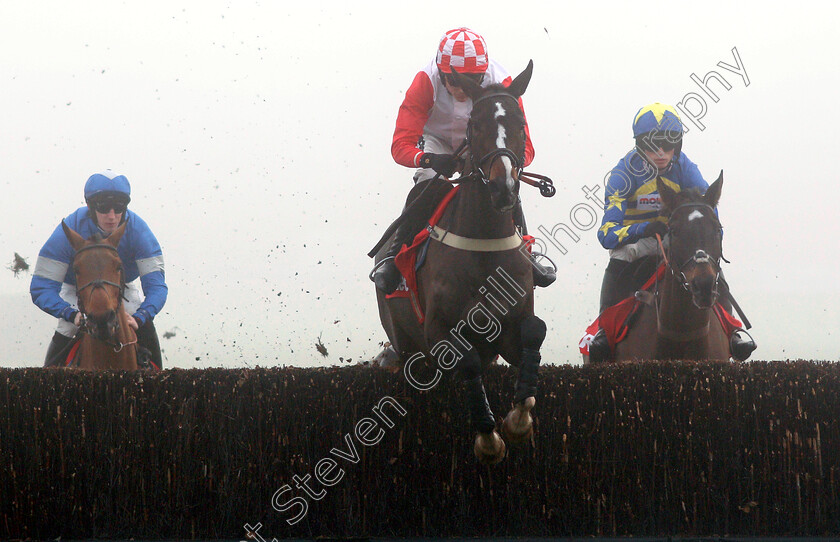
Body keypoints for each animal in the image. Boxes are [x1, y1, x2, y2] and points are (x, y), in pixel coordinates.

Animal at [376, 61, 548, 466]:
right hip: (405, 341)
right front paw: (489, 439)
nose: (503, 188)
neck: (483, 246)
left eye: (519, 123)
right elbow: (465, 360)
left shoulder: (513, 325)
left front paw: (519, 418)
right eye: (475, 124)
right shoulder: (438, 332)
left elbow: (535, 331)